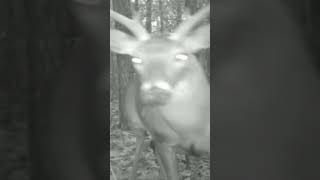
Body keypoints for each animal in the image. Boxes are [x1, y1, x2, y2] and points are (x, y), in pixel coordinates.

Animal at [110, 4, 210, 179]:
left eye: (181, 56)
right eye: (136, 58)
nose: (154, 90)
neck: (193, 128)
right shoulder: (164, 140)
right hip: (136, 124)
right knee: (140, 151)